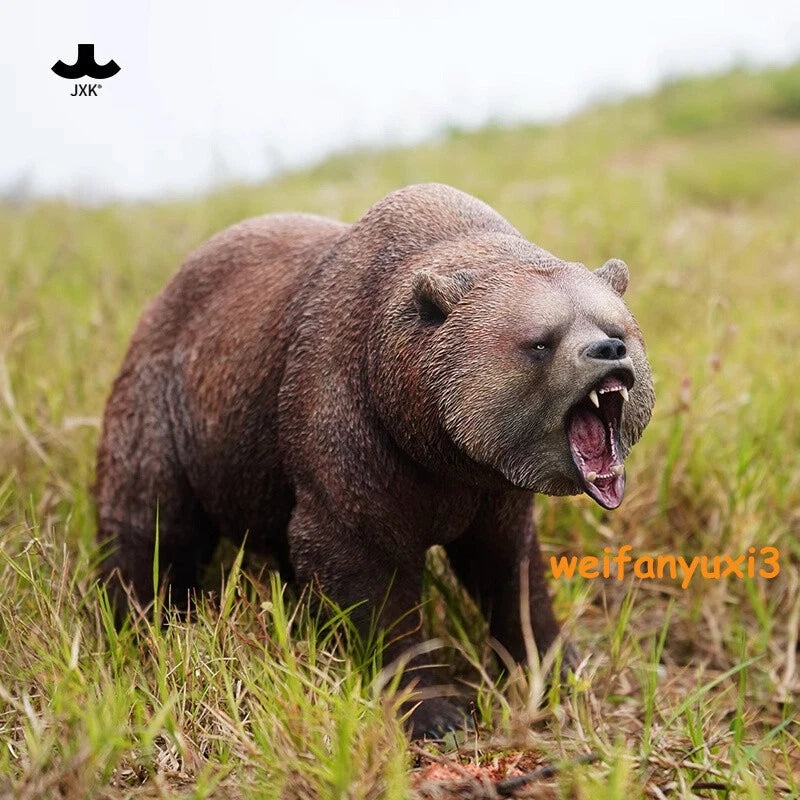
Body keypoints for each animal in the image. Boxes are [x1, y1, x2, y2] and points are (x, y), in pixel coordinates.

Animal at [95, 183, 654, 738]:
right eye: (541, 342)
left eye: (616, 326)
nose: (608, 350)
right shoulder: (352, 435)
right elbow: (365, 573)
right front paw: (435, 712)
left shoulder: (494, 489)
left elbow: (510, 571)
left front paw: (559, 671)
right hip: (168, 407)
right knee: (149, 519)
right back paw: (134, 620)